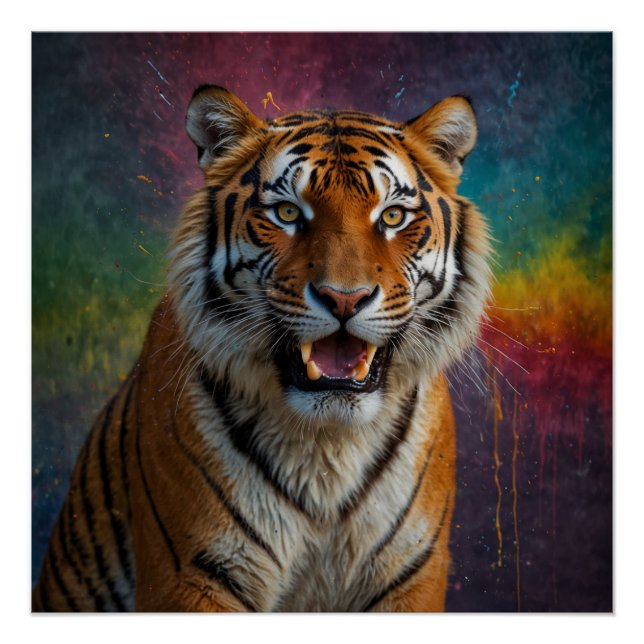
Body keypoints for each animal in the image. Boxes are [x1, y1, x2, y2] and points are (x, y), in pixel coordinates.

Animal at [32, 84, 491, 612]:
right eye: (287, 213)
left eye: (392, 216)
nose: (345, 297)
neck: (328, 444)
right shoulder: (194, 572)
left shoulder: (412, 572)